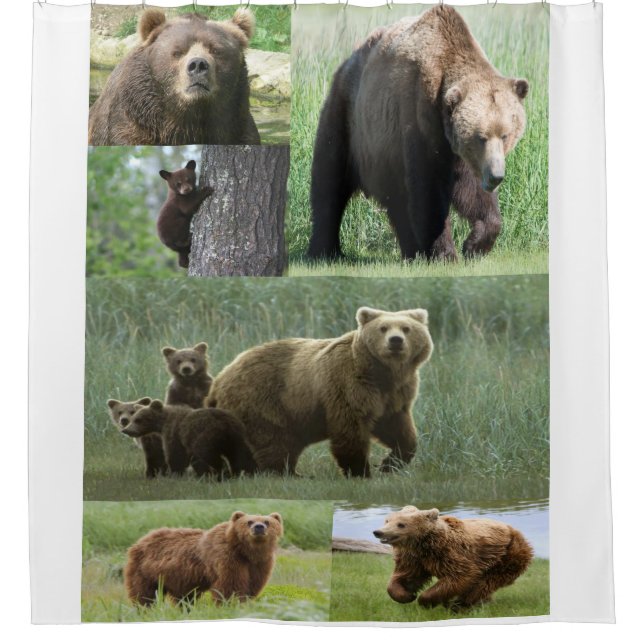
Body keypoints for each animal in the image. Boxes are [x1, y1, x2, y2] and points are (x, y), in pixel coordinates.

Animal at [123, 400, 256, 479]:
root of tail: (224, 423)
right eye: (133, 418)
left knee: (210, 456)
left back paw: (221, 473)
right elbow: (193, 459)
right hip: (236, 436)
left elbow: (176, 455)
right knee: (242, 454)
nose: (126, 430)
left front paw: (175, 473)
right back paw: (247, 472)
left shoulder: (175, 432)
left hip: (206, 436)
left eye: (138, 420)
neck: (162, 423)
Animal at [124, 510, 283, 605]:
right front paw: (229, 604)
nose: (259, 527)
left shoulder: (259, 564)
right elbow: (230, 586)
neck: (246, 552)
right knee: (144, 593)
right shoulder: (227, 558)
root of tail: (141, 539)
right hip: (145, 570)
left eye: (268, 522)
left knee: (185, 598)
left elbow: (252, 585)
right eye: (248, 521)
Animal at [205, 307, 433, 477]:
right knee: (272, 439)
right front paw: (360, 471)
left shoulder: (396, 393)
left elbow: (397, 427)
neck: (383, 372)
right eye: (383, 328)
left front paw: (390, 463)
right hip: (263, 400)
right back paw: (281, 473)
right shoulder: (348, 384)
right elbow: (350, 427)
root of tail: (220, 378)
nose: (395, 341)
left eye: (406, 328)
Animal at [308, 5, 529, 261]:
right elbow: (428, 190)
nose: (496, 176)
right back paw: (325, 251)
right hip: (349, 120)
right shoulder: (420, 118)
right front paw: (445, 253)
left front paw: (475, 244)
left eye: (505, 135)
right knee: (329, 181)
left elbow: (472, 191)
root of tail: (346, 62)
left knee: (397, 201)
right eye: (480, 137)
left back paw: (411, 251)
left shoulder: (458, 150)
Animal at [373, 506, 533, 610]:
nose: (378, 532)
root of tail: (513, 529)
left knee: (486, 582)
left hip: (508, 554)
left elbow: (460, 575)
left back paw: (461, 604)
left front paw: (425, 600)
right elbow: (407, 576)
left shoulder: (450, 553)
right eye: (387, 521)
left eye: (401, 524)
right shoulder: (414, 558)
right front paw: (407, 595)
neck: (423, 544)